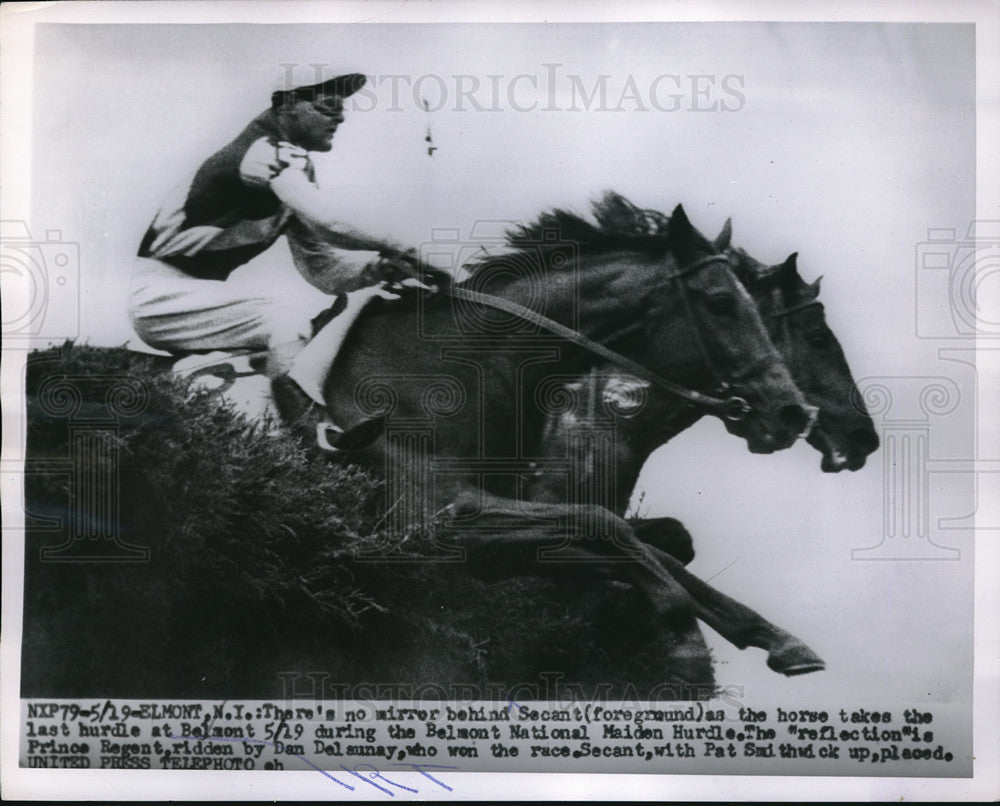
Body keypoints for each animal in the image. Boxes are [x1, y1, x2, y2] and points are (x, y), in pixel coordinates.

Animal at [302, 202, 820, 676]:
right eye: (721, 302)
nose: (793, 412)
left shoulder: (497, 547)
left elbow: (651, 547)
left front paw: (773, 636)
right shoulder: (432, 521)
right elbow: (607, 526)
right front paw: (680, 632)